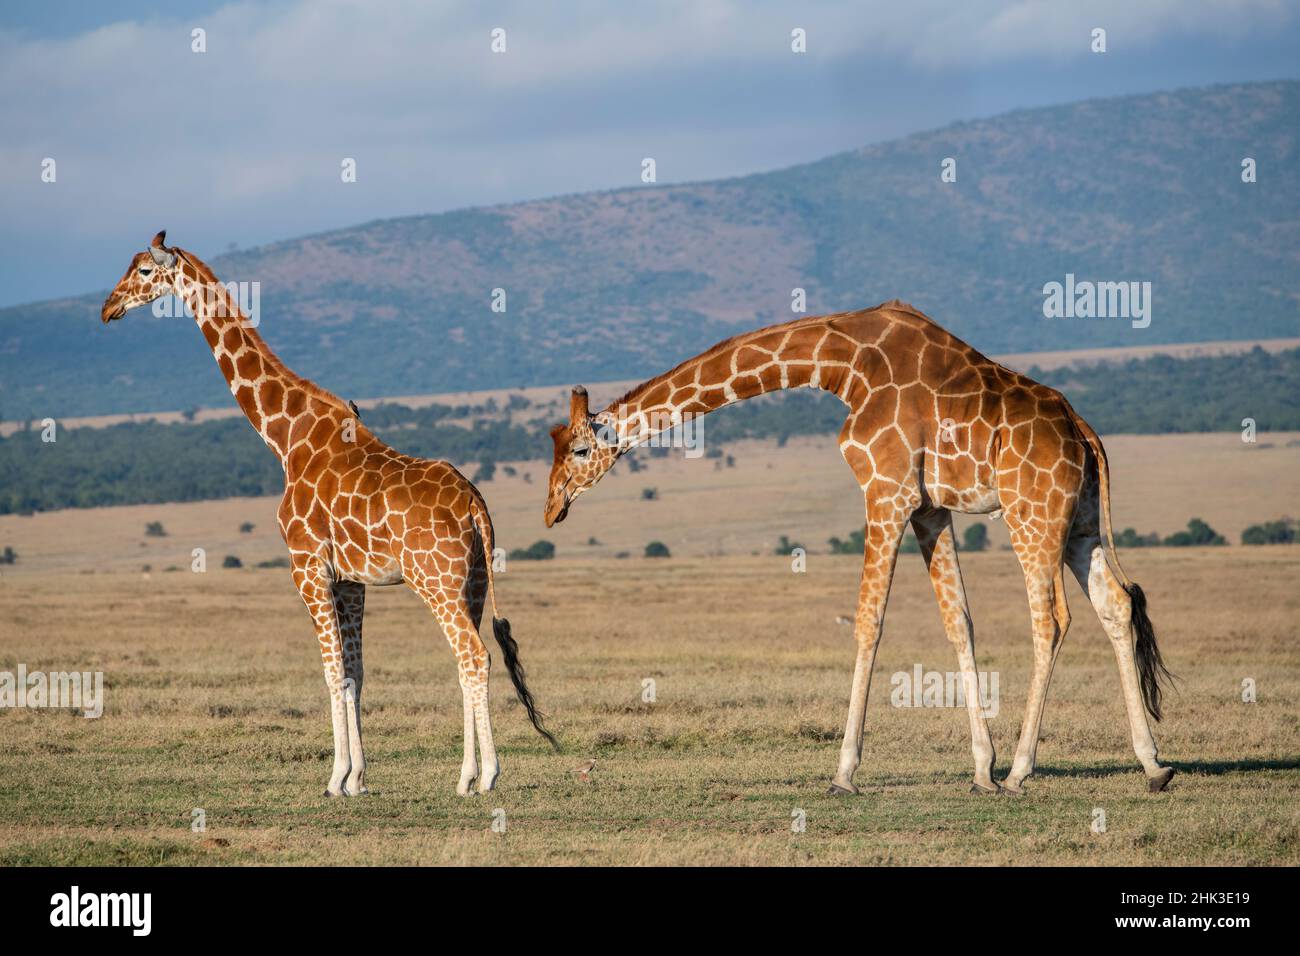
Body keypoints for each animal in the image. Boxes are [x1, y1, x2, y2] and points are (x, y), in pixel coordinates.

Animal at [101, 231, 557, 797]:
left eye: (143, 270)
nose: (108, 308)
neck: (285, 436)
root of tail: (475, 502)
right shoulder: (350, 579)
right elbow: (355, 671)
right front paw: (358, 777)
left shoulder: (306, 565)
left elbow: (330, 670)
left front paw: (336, 777)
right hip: (472, 582)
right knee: (464, 660)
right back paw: (466, 776)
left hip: (435, 579)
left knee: (474, 657)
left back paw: (488, 775)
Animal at [545, 302, 1176, 795]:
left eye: (579, 450)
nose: (552, 509)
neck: (842, 365)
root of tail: (1083, 432)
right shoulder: (927, 507)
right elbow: (959, 622)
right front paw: (981, 769)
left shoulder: (885, 490)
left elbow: (868, 621)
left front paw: (845, 771)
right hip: (1080, 522)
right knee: (1116, 604)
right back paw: (1152, 765)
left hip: (1032, 514)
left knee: (1051, 618)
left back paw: (1025, 770)